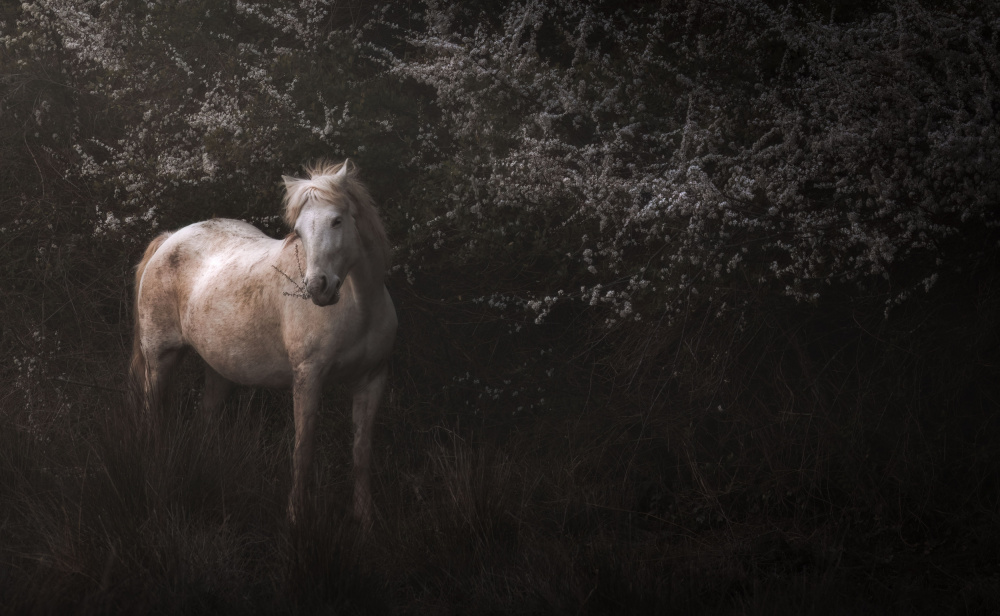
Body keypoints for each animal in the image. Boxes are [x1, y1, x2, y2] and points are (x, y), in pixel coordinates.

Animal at [131, 160, 396, 524]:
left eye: (337, 220)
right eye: (299, 231)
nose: (318, 288)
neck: (360, 308)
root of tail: (169, 240)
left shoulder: (372, 380)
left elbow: (361, 453)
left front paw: (365, 518)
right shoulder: (308, 378)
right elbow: (303, 449)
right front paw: (296, 517)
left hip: (218, 370)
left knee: (204, 419)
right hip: (160, 358)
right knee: (153, 416)